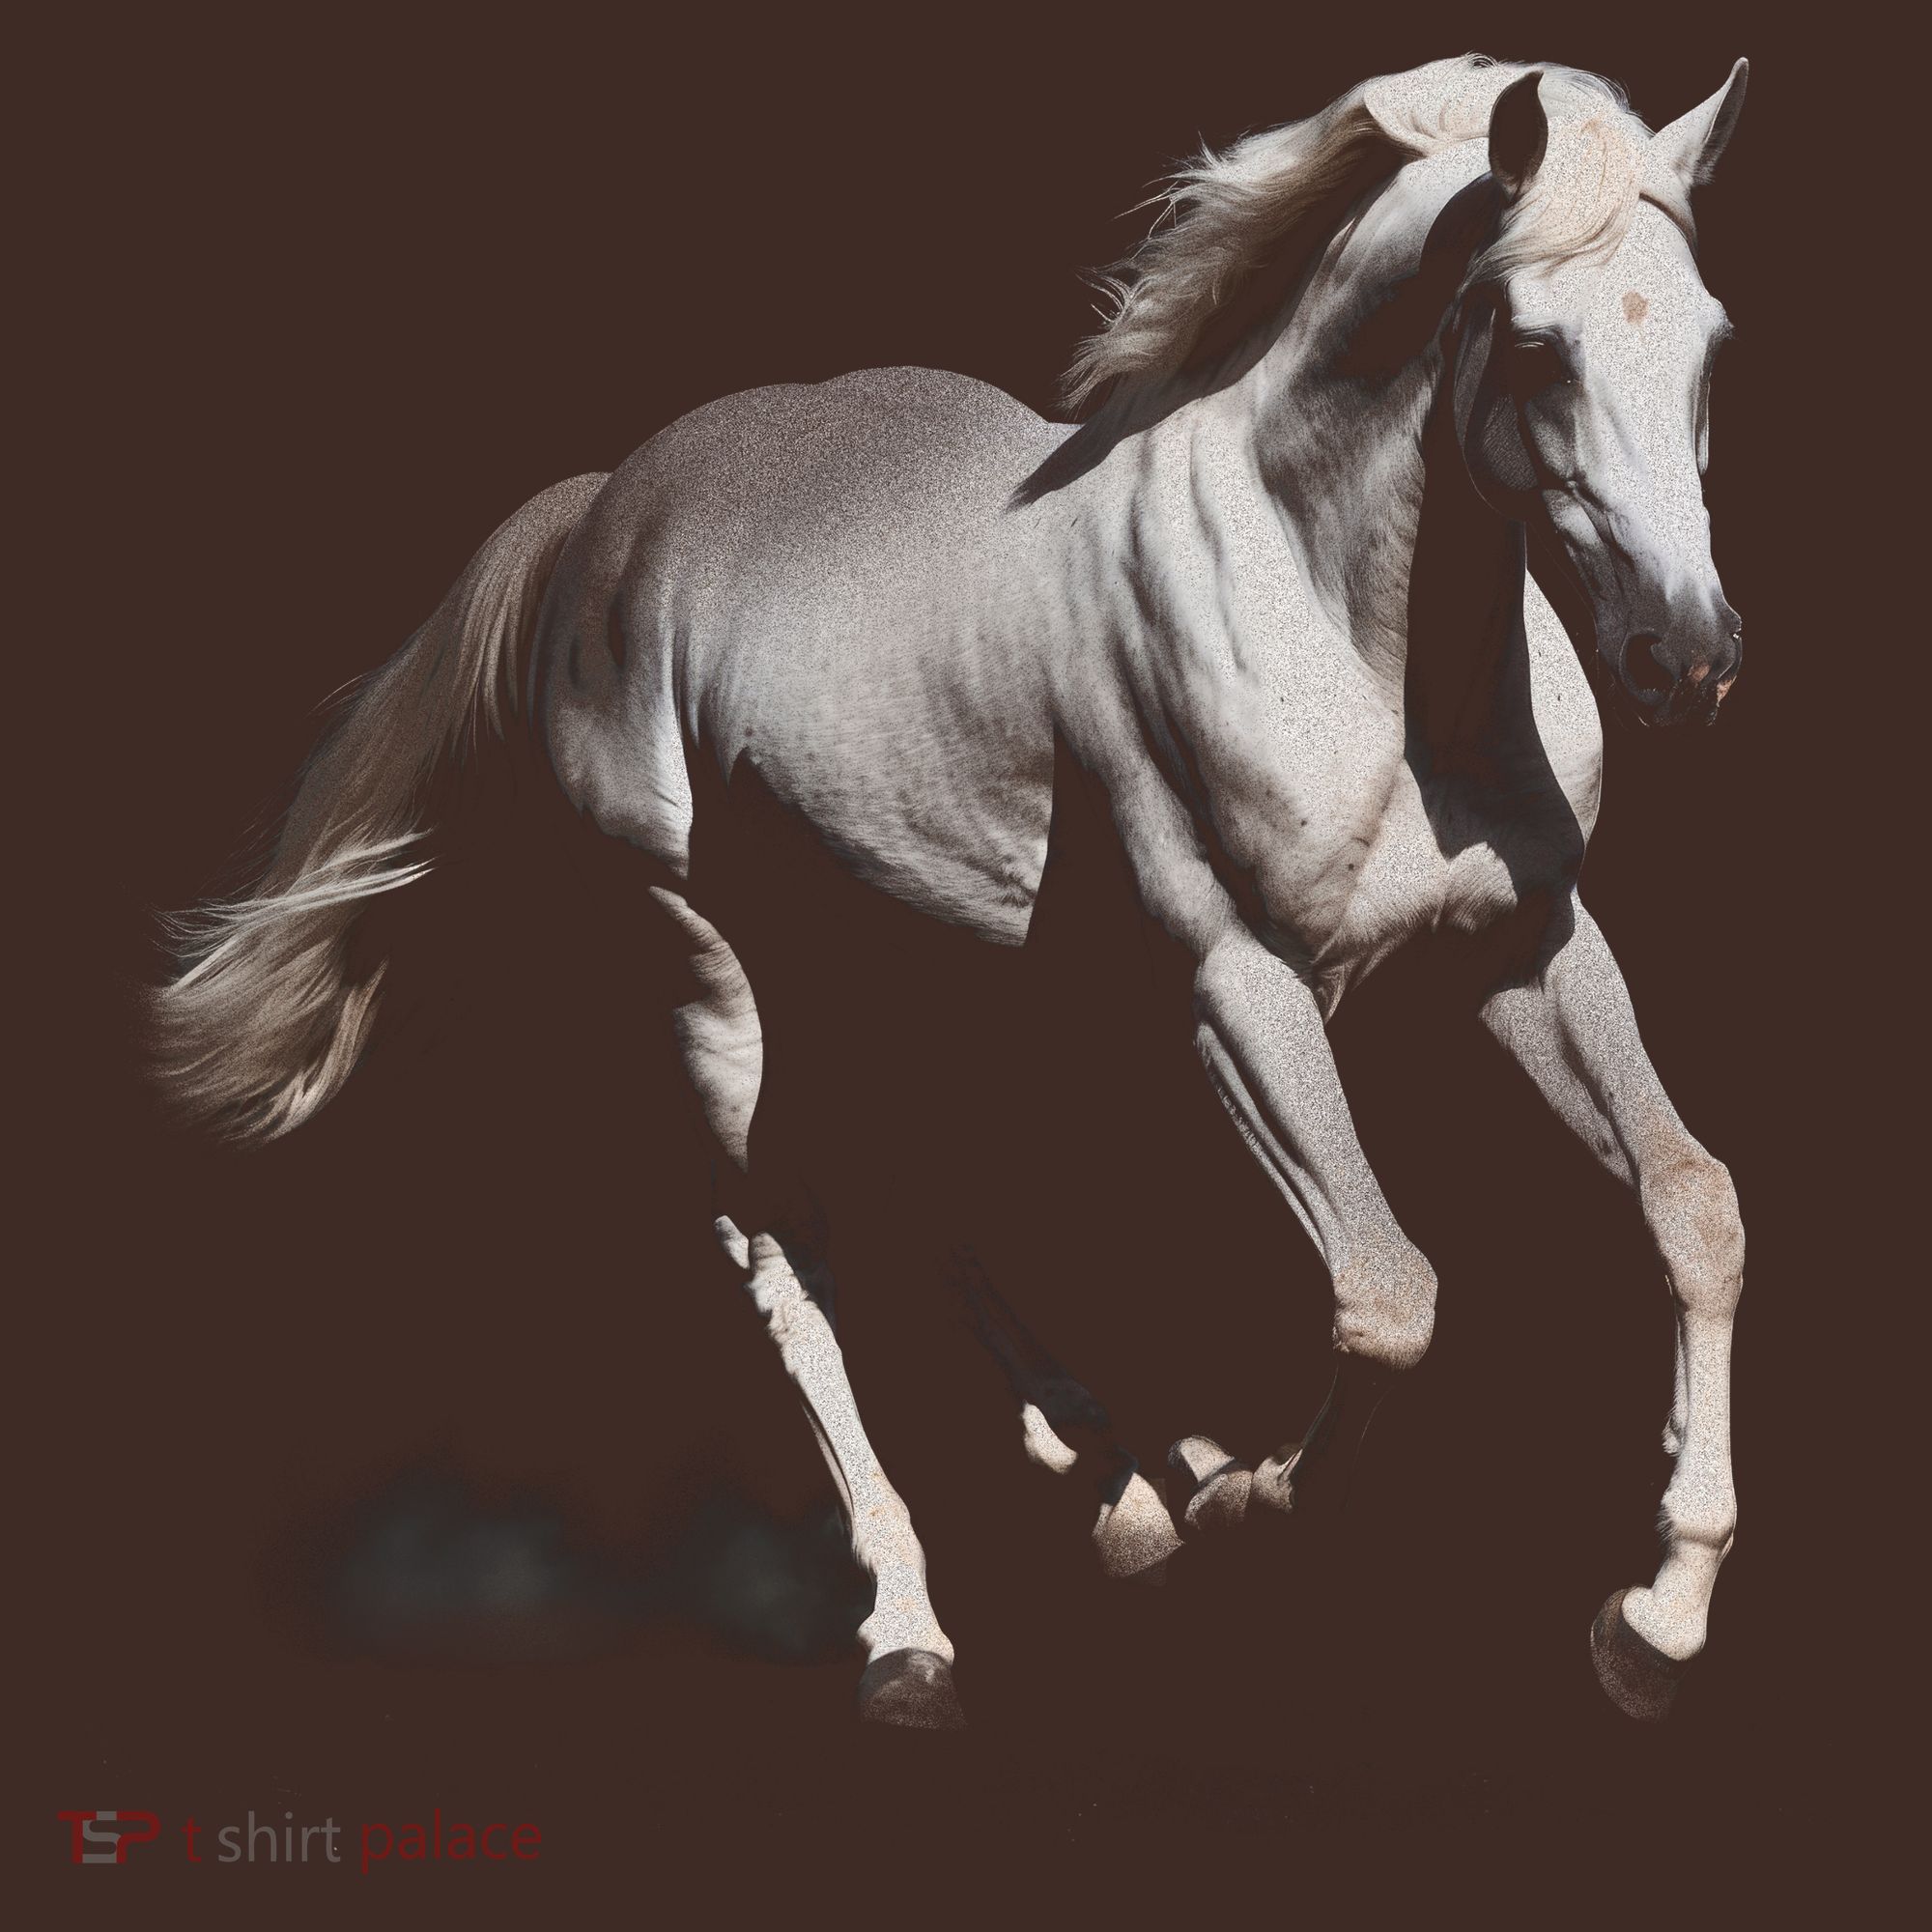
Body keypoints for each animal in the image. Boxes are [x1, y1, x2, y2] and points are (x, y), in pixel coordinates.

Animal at [152, 53, 1751, 1730]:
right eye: (1534, 341)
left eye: (1709, 340)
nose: (1686, 658)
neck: (1344, 630)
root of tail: (602, 514)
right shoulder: (1238, 984)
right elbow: (1389, 1298)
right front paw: (1253, 1496)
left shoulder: (1529, 944)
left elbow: (1693, 1203)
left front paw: (1657, 1618)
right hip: (712, 981)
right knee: (783, 1251)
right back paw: (916, 1628)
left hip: (920, 953)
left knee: (926, 1190)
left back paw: (1121, 1482)